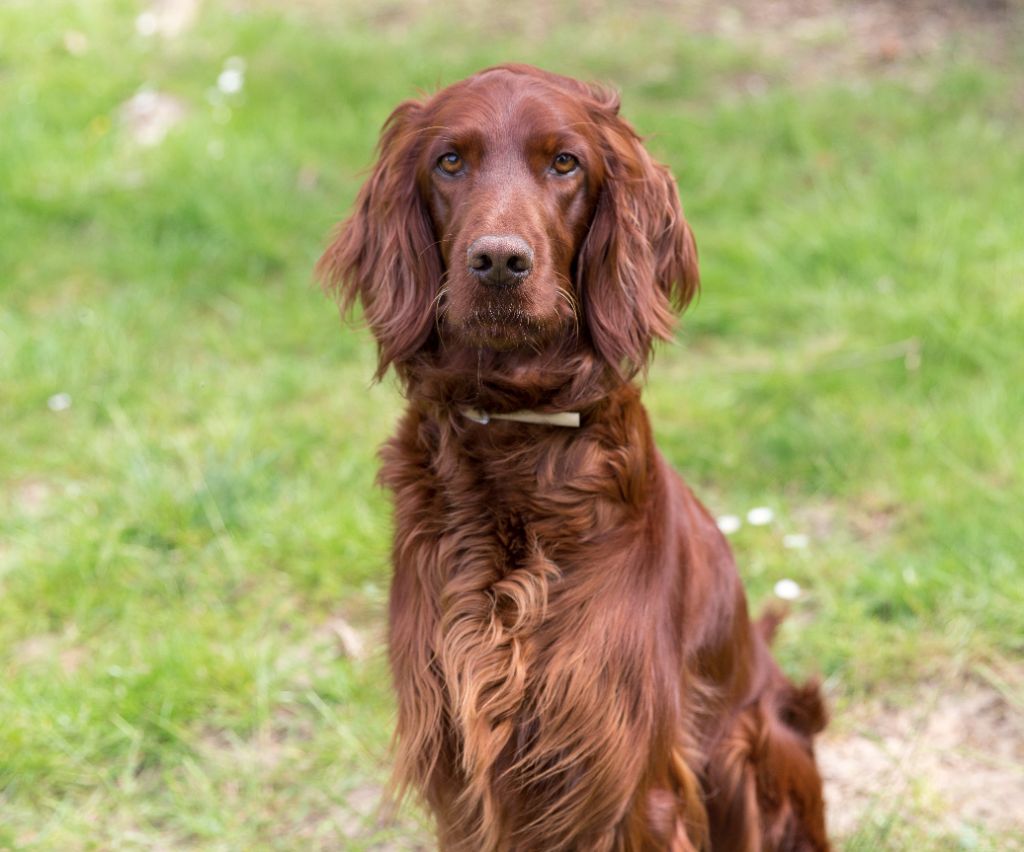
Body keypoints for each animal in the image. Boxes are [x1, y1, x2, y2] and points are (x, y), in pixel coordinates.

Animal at [319, 63, 831, 847]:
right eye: (449, 161)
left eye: (565, 162)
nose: (499, 261)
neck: (514, 432)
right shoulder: (460, 771)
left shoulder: (627, 779)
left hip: (750, 748)